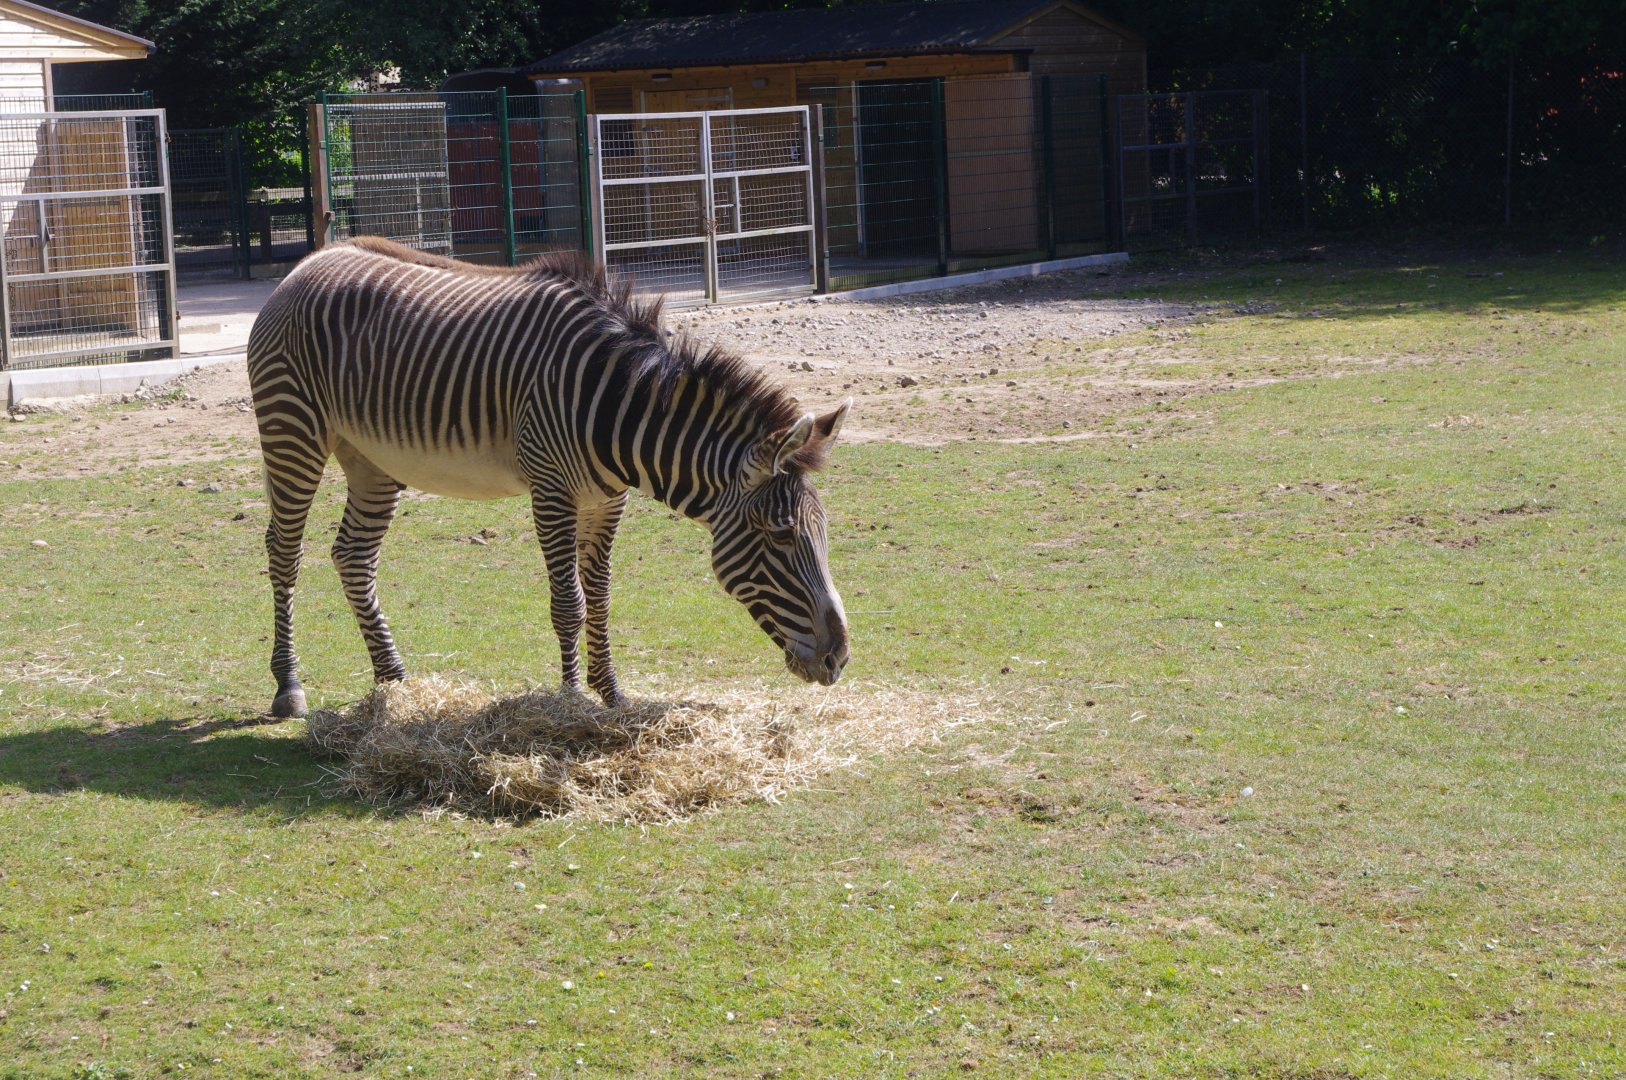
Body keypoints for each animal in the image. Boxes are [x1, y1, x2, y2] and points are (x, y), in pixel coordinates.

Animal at [247, 237, 850, 718]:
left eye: (822, 533)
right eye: (781, 536)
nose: (839, 657)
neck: (619, 411)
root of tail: (312, 260)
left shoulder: (606, 500)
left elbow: (600, 596)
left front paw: (612, 694)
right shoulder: (552, 490)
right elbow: (569, 603)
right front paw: (572, 699)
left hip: (372, 459)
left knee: (353, 555)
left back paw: (395, 683)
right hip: (292, 429)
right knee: (284, 551)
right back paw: (288, 686)